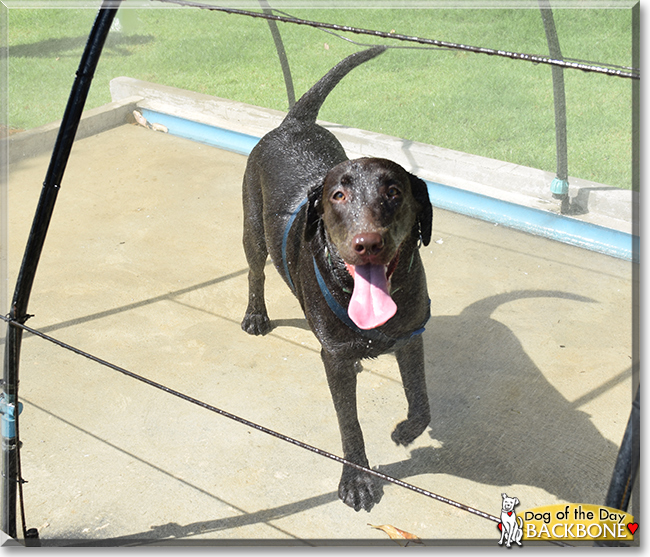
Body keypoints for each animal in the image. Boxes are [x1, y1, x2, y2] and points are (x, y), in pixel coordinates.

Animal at [240, 47, 432, 512]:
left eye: (394, 192)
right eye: (338, 196)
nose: (368, 243)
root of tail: (293, 123)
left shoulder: (411, 336)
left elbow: (421, 401)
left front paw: (405, 431)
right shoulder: (336, 360)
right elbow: (350, 424)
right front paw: (357, 480)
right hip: (252, 231)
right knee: (255, 271)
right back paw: (256, 315)